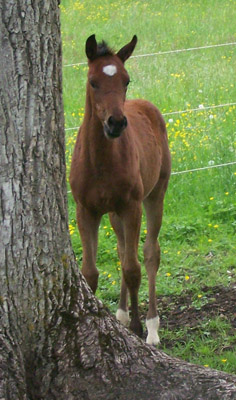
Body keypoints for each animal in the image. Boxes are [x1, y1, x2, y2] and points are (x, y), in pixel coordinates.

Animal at [69, 34, 171, 346]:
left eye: (126, 80)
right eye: (92, 81)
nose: (116, 122)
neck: (101, 161)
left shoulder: (131, 205)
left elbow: (132, 268)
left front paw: (138, 328)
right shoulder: (85, 210)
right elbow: (90, 272)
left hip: (155, 195)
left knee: (149, 253)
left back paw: (151, 327)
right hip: (114, 213)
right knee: (122, 248)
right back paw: (122, 314)